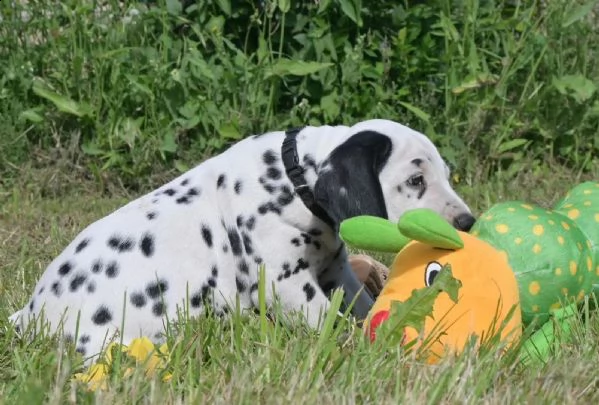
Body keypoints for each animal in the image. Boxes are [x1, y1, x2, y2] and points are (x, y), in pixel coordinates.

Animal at [9, 117, 476, 360]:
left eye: (446, 175)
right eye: (415, 181)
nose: (468, 221)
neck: (290, 181)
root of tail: (28, 315)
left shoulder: (336, 271)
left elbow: (363, 303)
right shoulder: (288, 286)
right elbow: (332, 322)